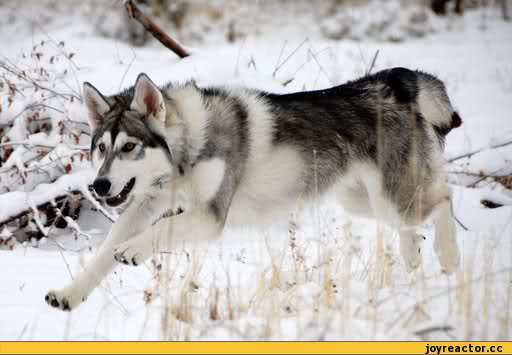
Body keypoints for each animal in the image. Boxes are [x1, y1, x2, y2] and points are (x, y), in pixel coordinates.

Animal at [45, 67, 460, 312]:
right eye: (101, 148)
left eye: (130, 147)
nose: (99, 185)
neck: (186, 151)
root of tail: (392, 82)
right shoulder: (144, 205)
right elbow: (102, 255)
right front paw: (69, 294)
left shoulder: (209, 216)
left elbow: (159, 230)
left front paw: (132, 250)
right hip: (362, 201)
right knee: (415, 222)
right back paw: (412, 254)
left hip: (391, 199)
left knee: (444, 198)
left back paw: (449, 257)